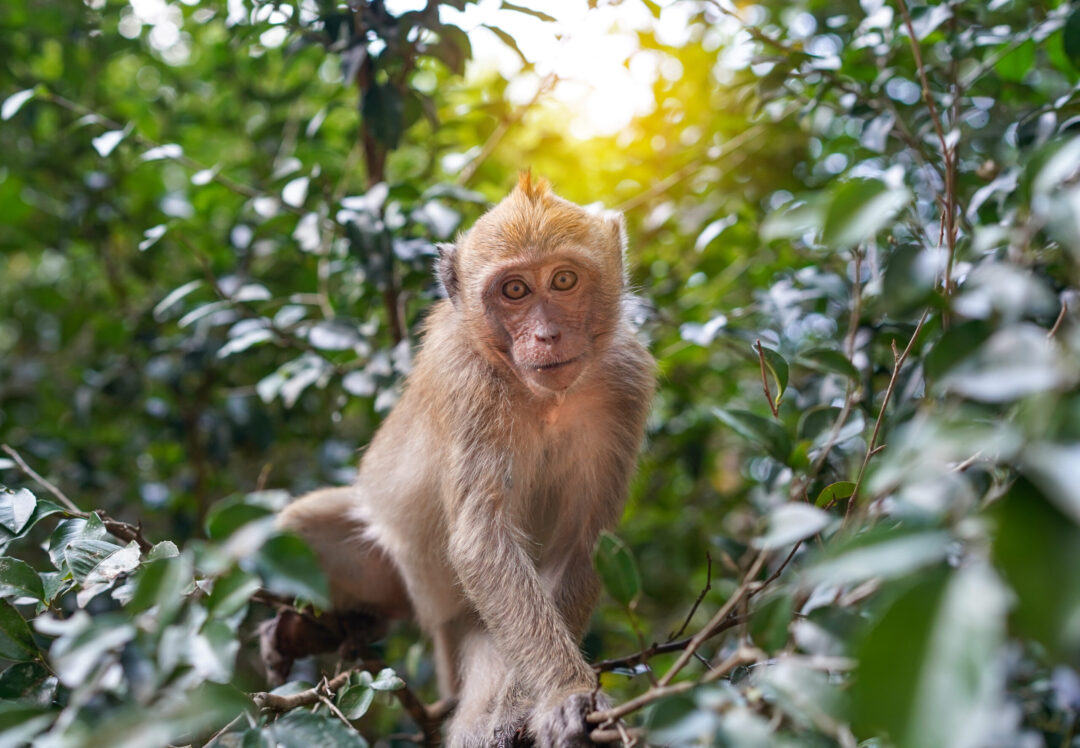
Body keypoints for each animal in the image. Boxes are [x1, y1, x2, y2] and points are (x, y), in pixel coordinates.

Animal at [275, 174, 655, 747]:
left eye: (564, 279)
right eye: (515, 290)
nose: (546, 336)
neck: (544, 397)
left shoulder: (624, 384)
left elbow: (582, 543)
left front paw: (542, 701)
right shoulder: (468, 384)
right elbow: (482, 540)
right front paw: (564, 691)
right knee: (287, 531)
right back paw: (301, 630)